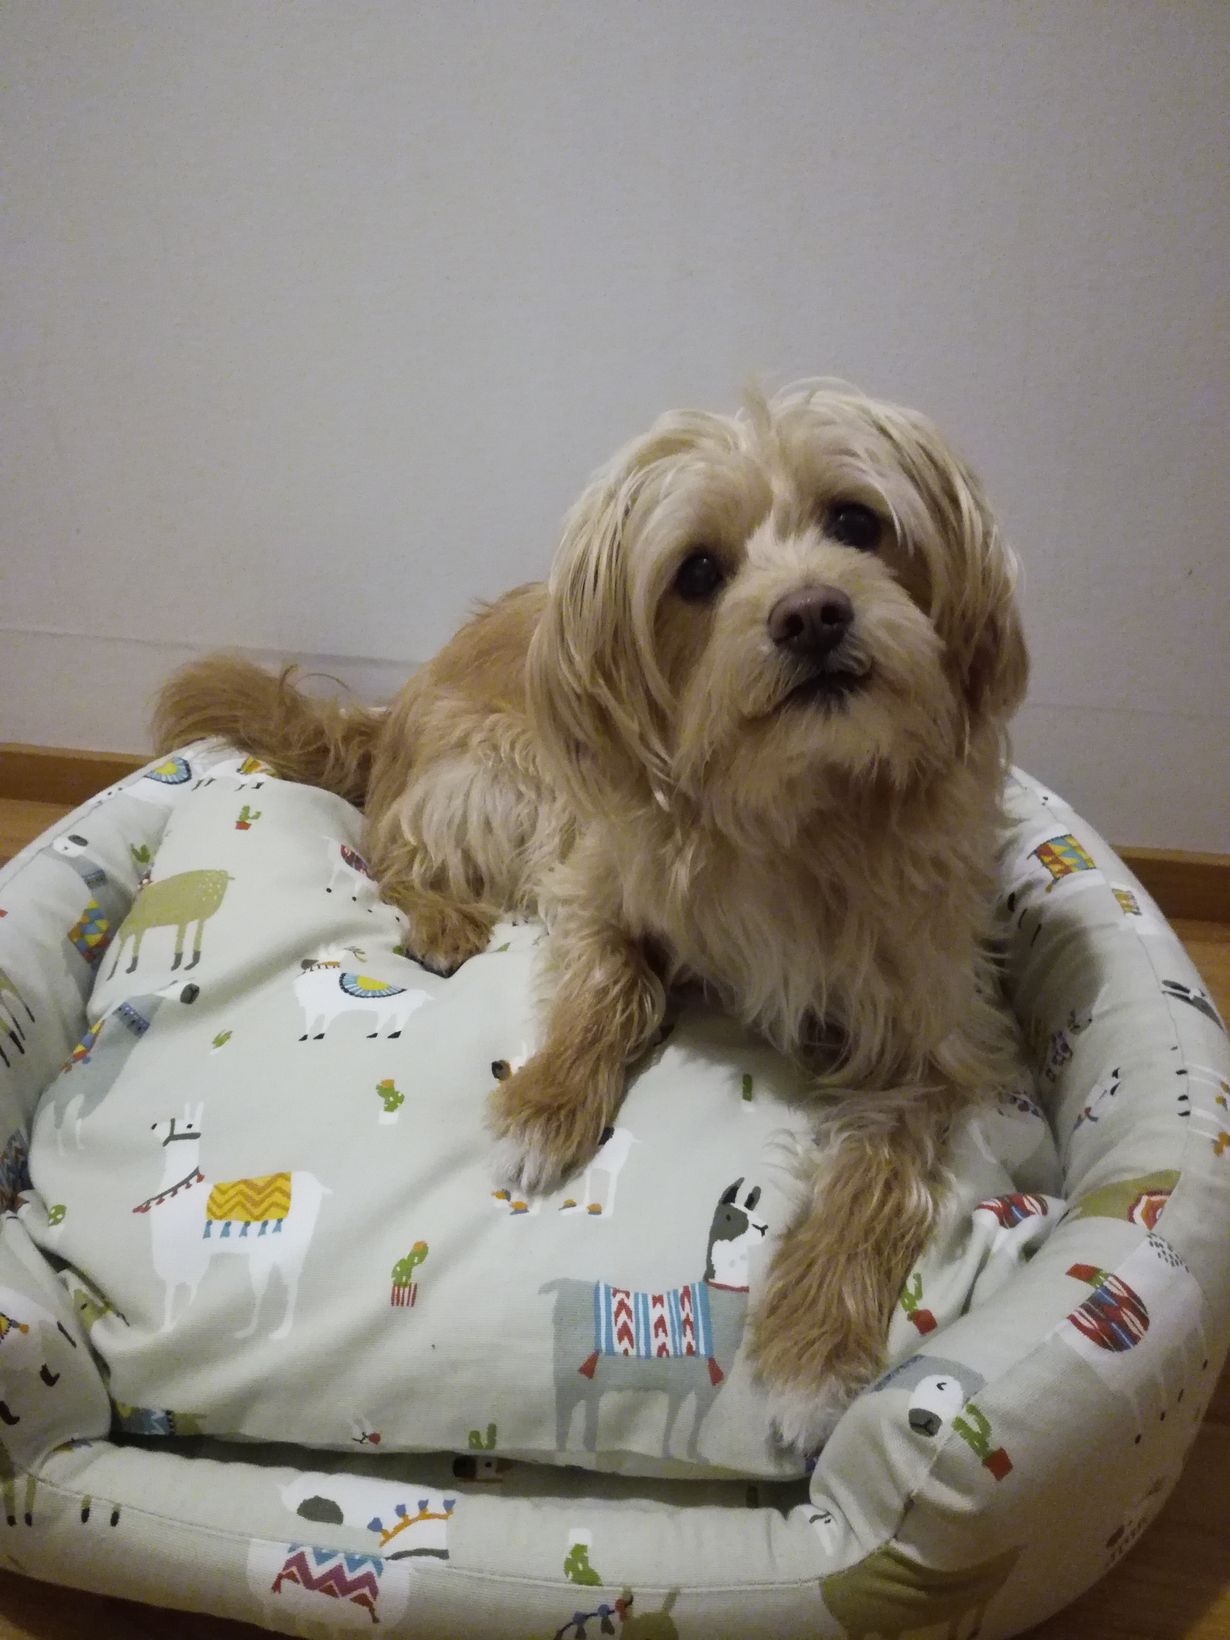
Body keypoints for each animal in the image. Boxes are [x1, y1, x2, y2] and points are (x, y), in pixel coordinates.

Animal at [154, 381, 1028, 1453]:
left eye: (858, 522)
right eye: (698, 572)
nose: (813, 613)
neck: (799, 808)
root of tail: (389, 714)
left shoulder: (931, 1045)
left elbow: (878, 1180)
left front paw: (814, 1348)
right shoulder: (595, 889)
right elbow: (611, 990)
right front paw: (544, 1104)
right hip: (505, 778)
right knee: (387, 853)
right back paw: (440, 921)